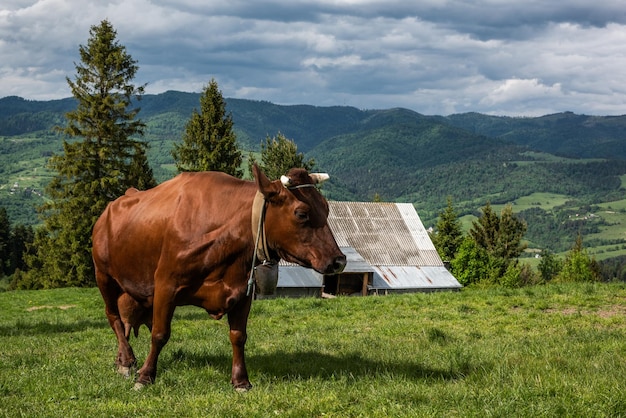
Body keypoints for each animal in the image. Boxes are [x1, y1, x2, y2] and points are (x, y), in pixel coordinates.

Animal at [91, 165, 346, 390]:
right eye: (301, 213)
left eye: (326, 208)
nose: (339, 261)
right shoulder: (166, 284)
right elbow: (160, 334)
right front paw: (145, 377)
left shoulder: (243, 291)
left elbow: (238, 336)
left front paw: (241, 381)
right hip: (104, 276)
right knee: (114, 317)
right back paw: (126, 361)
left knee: (125, 322)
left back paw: (122, 359)